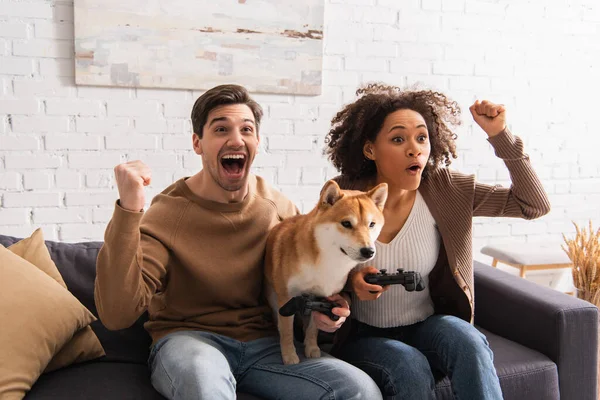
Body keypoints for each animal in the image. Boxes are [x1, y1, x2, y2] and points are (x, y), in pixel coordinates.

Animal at [264, 180, 386, 364]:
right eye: (346, 223)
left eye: (371, 224)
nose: (368, 251)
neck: (326, 262)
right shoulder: (286, 299)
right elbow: (286, 331)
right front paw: (289, 355)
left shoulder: (322, 297)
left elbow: (313, 328)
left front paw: (312, 347)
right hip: (273, 297)